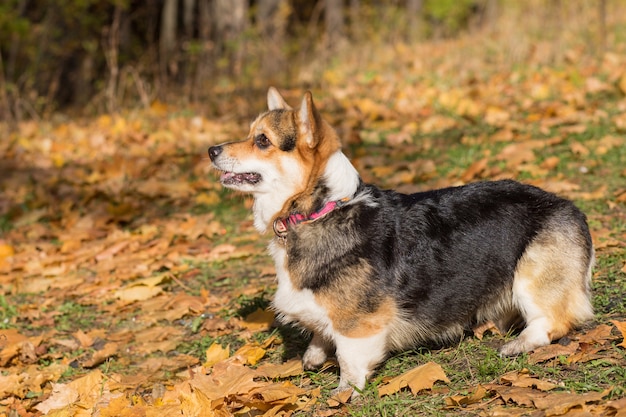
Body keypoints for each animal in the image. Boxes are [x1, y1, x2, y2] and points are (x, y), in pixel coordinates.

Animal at [207, 87, 592, 394]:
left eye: (262, 140)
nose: (211, 150)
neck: (319, 209)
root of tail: (570, 207)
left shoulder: (359, 324)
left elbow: (349, 357)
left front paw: (344, 392)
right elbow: (320, 335)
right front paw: (314, 354)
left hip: (531, 275)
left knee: (552, 321)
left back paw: (518, 344)